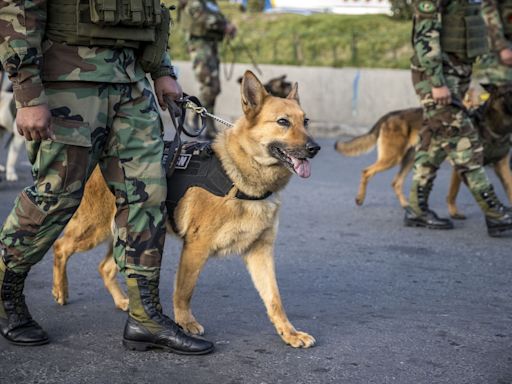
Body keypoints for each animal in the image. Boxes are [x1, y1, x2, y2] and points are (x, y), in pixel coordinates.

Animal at [54, 70, 322, 350]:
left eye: (305, 121)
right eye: (282, 122)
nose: (315, 148)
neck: (239, 178)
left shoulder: (260, 252)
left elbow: (274, 299)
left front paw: (289, 332)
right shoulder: (196, 248)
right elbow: (184, 291)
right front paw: (185, 324)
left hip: (131, 234)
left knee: (105, 267)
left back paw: (122, 302)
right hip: (94, 229)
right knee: (61, 247)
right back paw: (60, 291)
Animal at [334, 83, 512, 219]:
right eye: (508, 92)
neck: (493, 127)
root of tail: (390, 114)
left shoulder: (502, 166)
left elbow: (509, 188)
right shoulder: (461, 168)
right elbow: (453, 193)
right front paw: (454, 214)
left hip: (411, 160)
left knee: (396, 182)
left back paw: (408, 206)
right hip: (393, 158)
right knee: (366, 172)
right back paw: (360, 199)